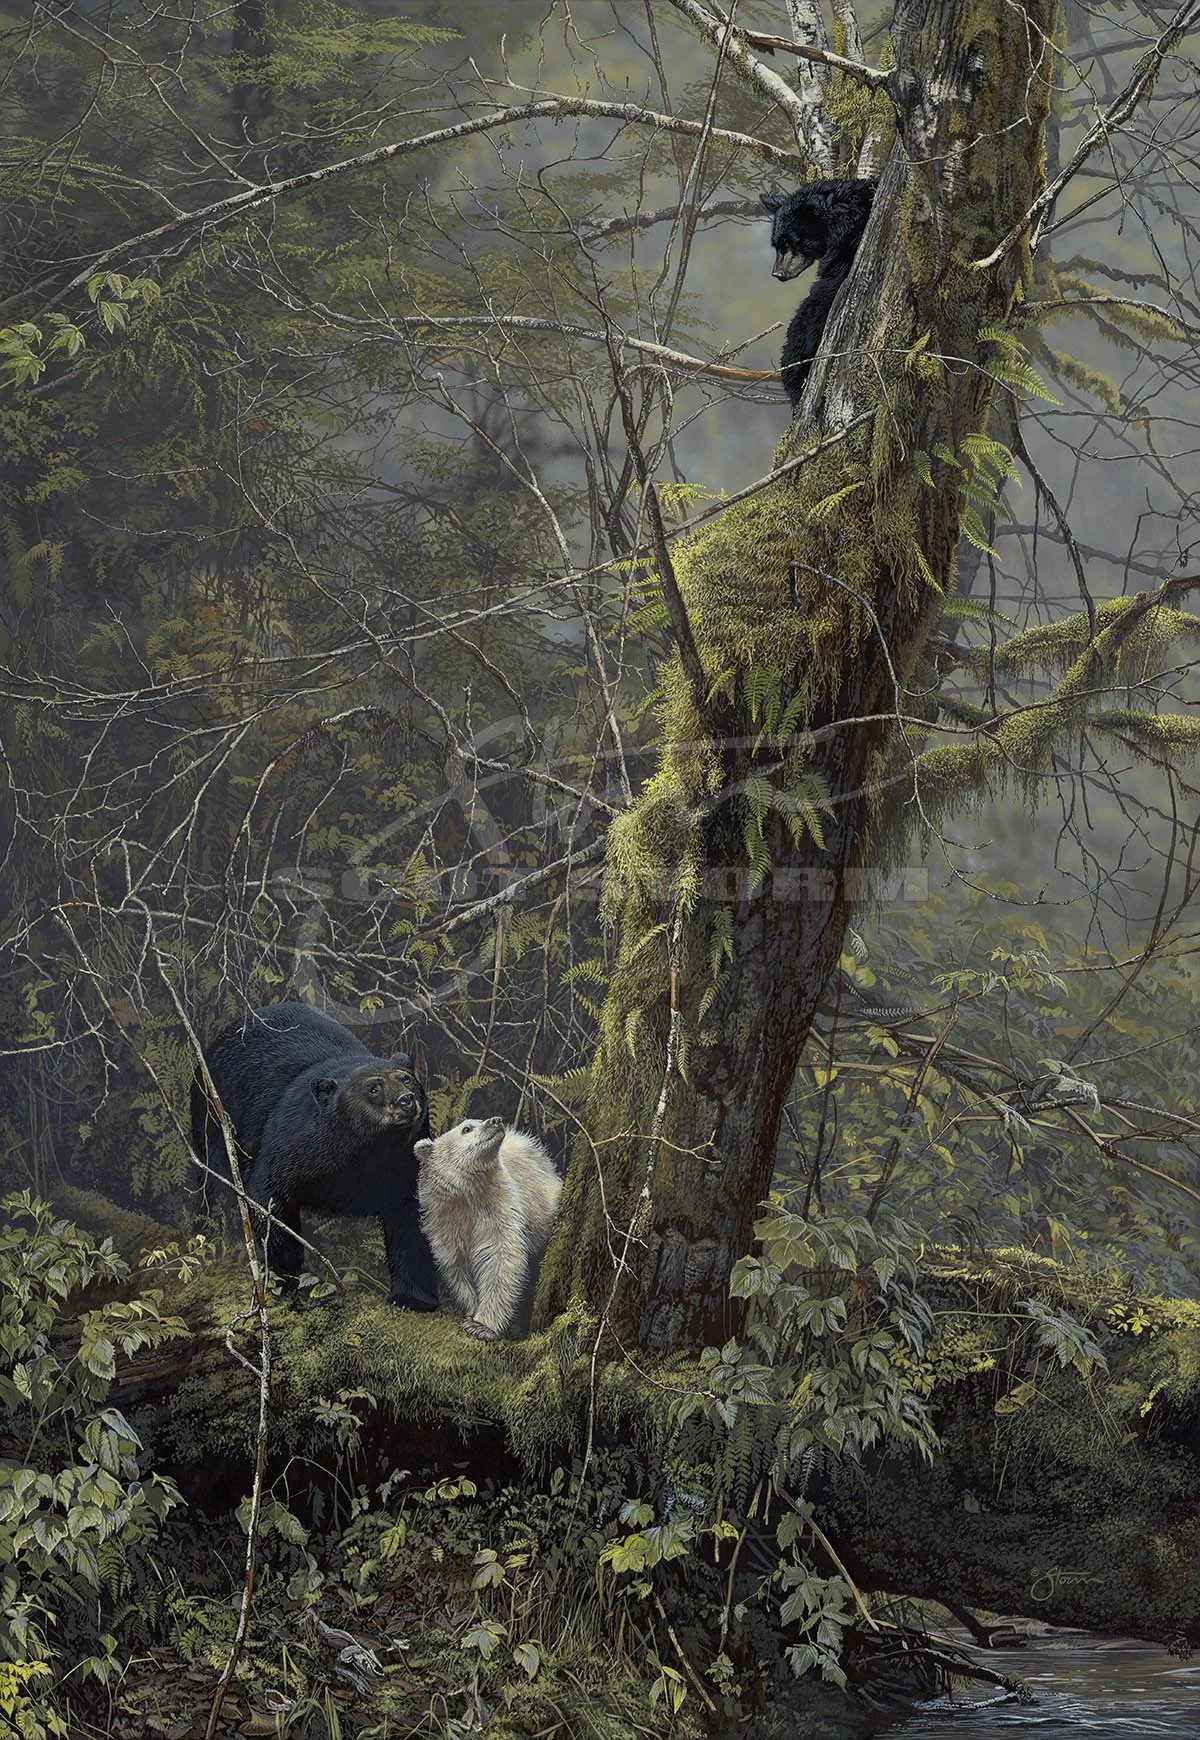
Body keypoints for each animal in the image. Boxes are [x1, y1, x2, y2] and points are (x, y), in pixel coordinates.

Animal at [189, 1001, 439, 1310]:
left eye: (407, 1079)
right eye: (373, 1089)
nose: (406, 1100)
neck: (366, 1152)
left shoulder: (404, 1162)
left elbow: (410, 1219)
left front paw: (413, 1298)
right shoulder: (294, 1144)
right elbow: (268, 1196)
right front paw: (287, 1280)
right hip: (210, 1118)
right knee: (214, 1186)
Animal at [413, 1117, 562, 1340]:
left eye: (478, 1120)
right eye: (466, 1128)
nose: (495, 1120)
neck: (467, 1193)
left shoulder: (498, 1207)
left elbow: (500, 1258)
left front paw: (481, 1326)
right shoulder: (443, 1221)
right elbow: (456, 1266)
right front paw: (471, 1309)